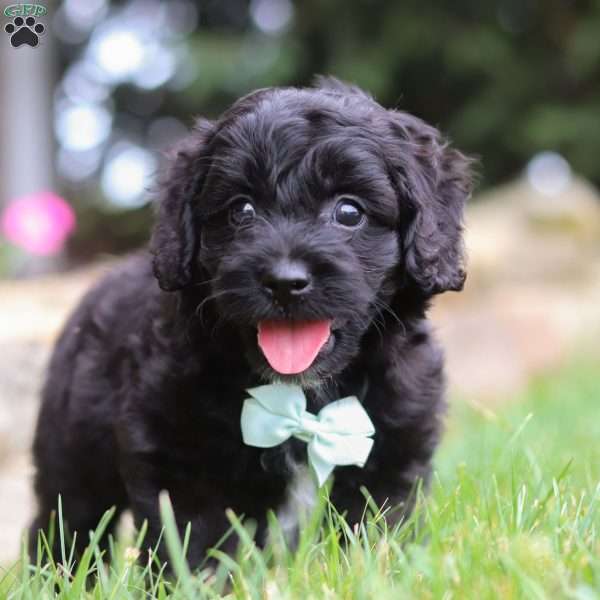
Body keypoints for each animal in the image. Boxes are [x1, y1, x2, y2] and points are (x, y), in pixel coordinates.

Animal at [30, 77, 474, 564]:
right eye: (241, 210)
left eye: (349, 211)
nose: (284, 282)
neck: (301, 397)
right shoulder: (178, 455)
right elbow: (192, 543)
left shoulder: (392, 451)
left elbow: (374, 531)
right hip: (73, 456)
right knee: (68, 525)